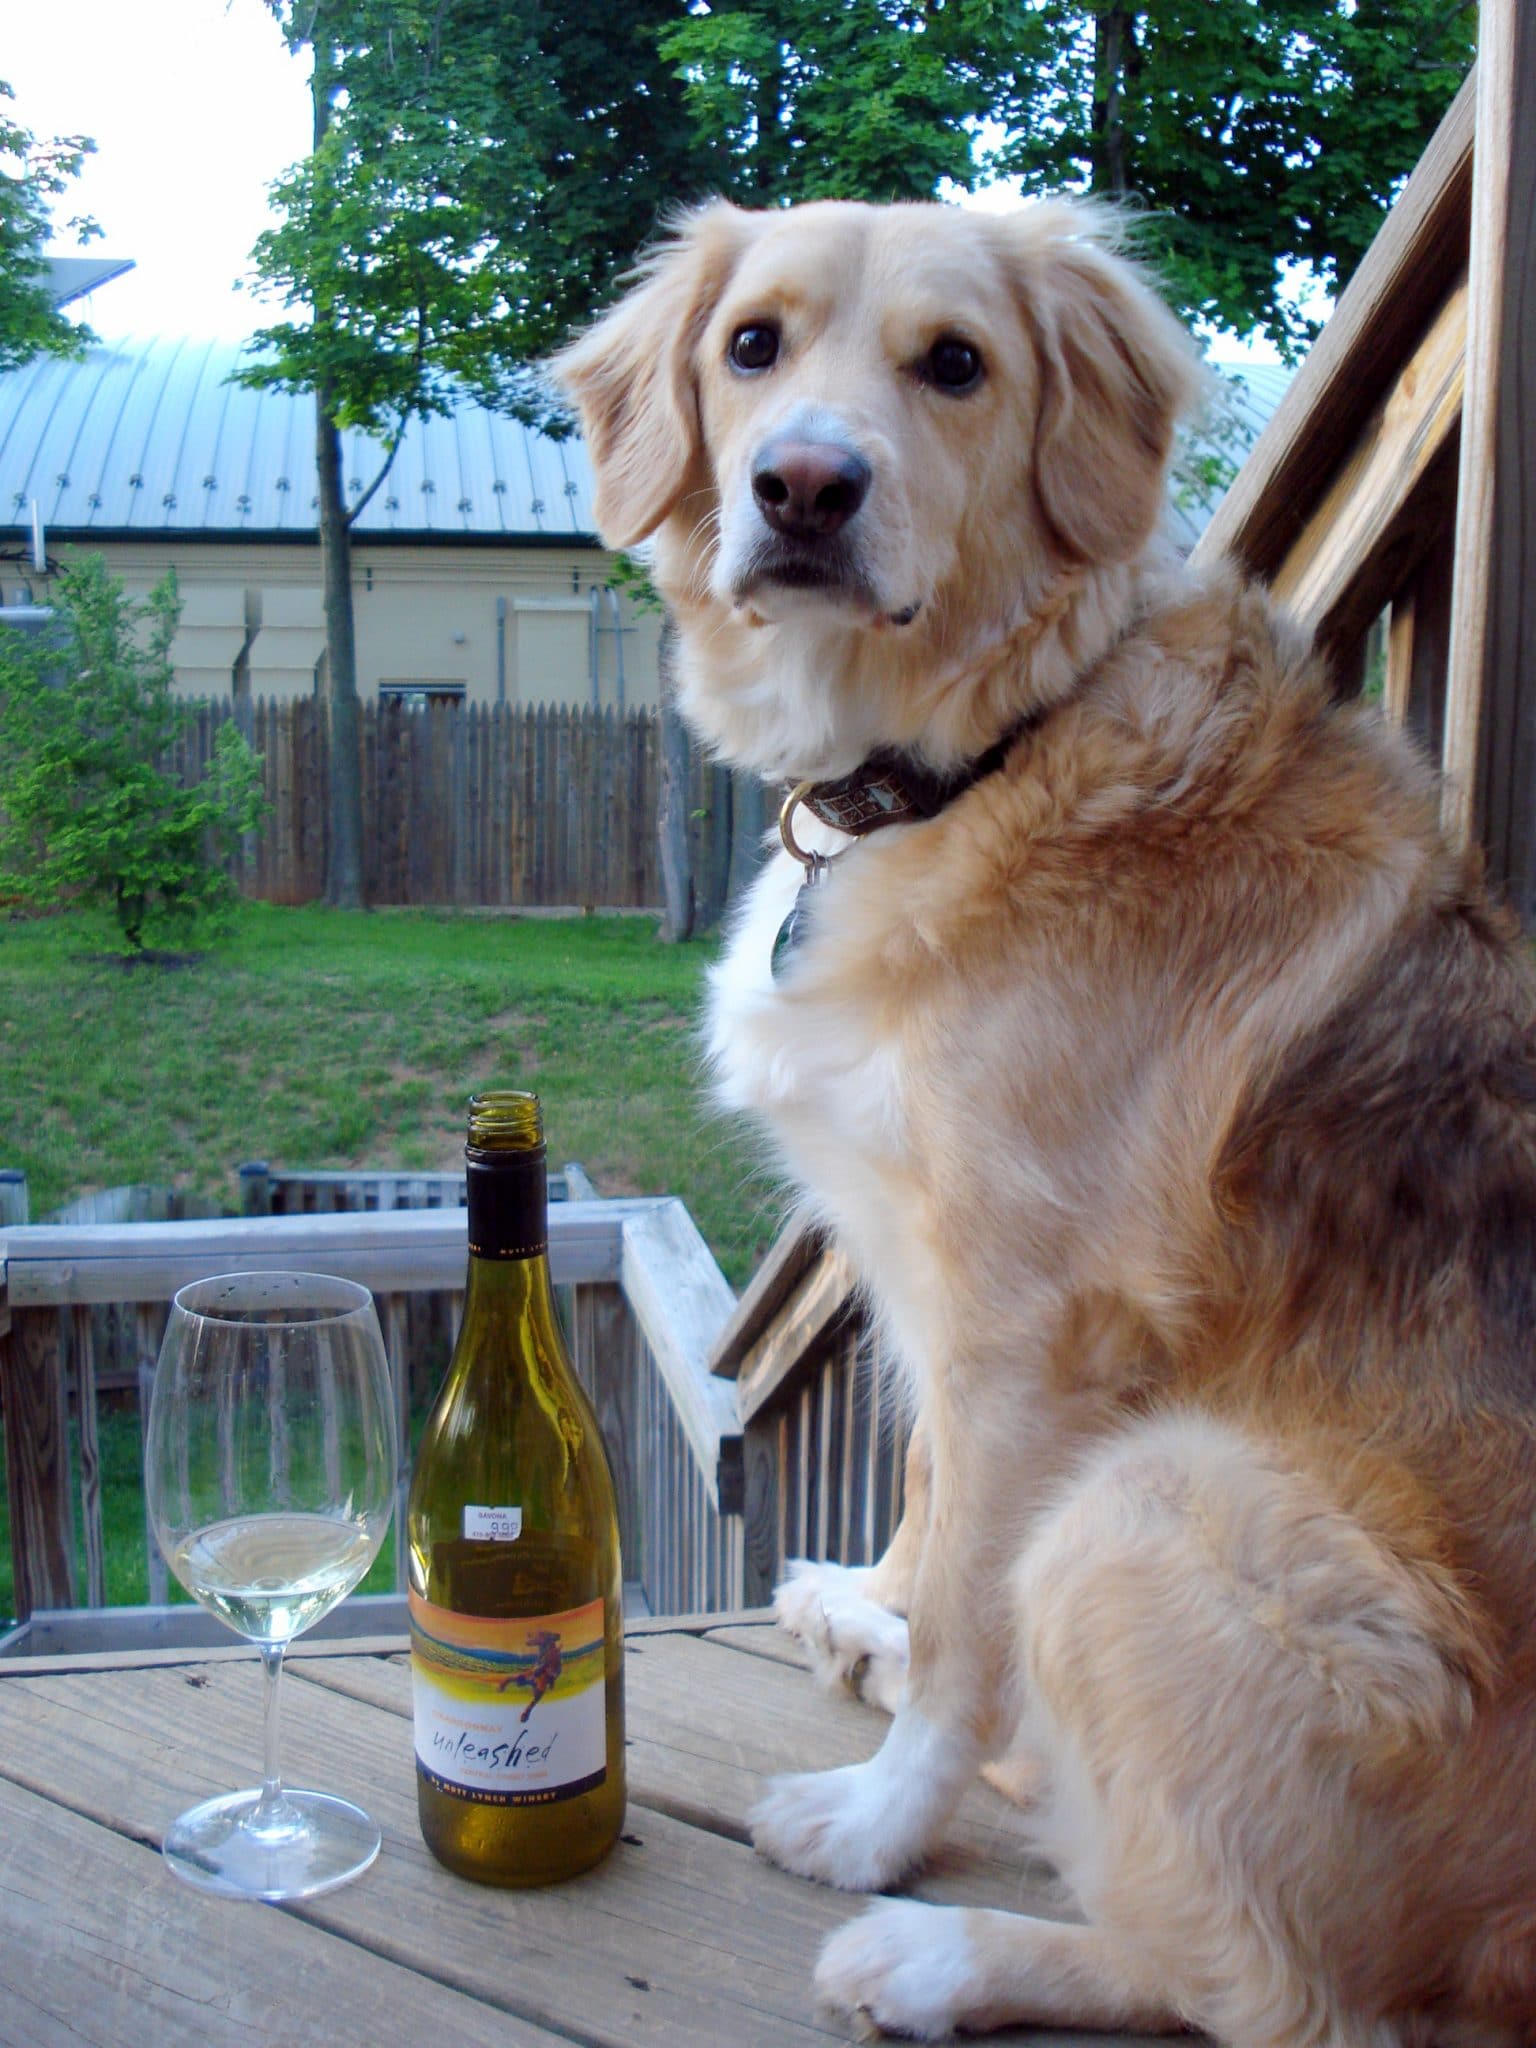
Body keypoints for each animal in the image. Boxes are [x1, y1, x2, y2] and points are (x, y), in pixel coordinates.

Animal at [561, 195, 1536, 2048]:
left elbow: (968, 1628)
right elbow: (931, 1504)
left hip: (1146, 1501)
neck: (969, 758)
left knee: (1260, 1991)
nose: (804, 486)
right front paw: (871, 1606)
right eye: (752, 346)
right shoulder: (929, 1282)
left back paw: (933, 1949)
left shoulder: (1033, 1329)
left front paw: (883, 1819)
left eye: (956, 365)